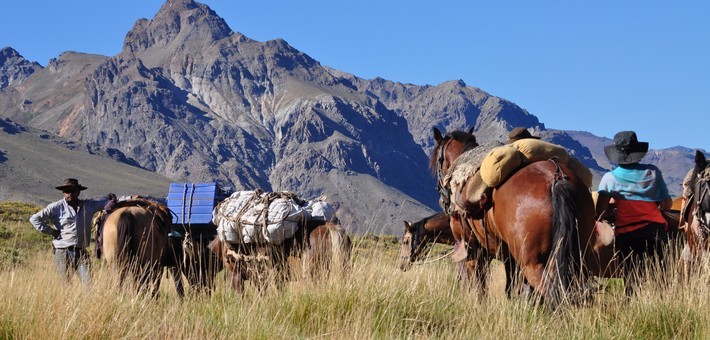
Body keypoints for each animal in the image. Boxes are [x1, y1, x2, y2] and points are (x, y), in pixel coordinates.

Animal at [432, 128, 608, 308]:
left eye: (437, 160)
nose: (443, 199)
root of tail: (557, 178)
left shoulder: (473, 249)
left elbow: (479, 284)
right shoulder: (509, 256)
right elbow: (513, 287)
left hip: (533, 263)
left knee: (554, 294)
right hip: (577, 257)